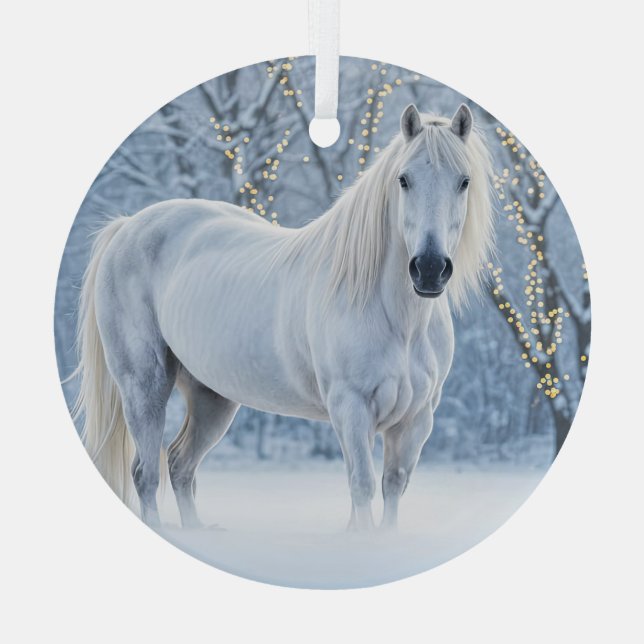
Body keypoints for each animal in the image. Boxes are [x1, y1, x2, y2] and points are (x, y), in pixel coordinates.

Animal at [71, 103, 494, 532]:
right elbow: (361, 486)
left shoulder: (415, 419)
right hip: (144, 385)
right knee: (145, 473)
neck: (398, 320)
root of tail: (128, 226)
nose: (429, 269)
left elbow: (392, 488)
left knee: (180, 465)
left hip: (211, 397)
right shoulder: (351, 408)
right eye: (404, 180)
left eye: (464, 182)